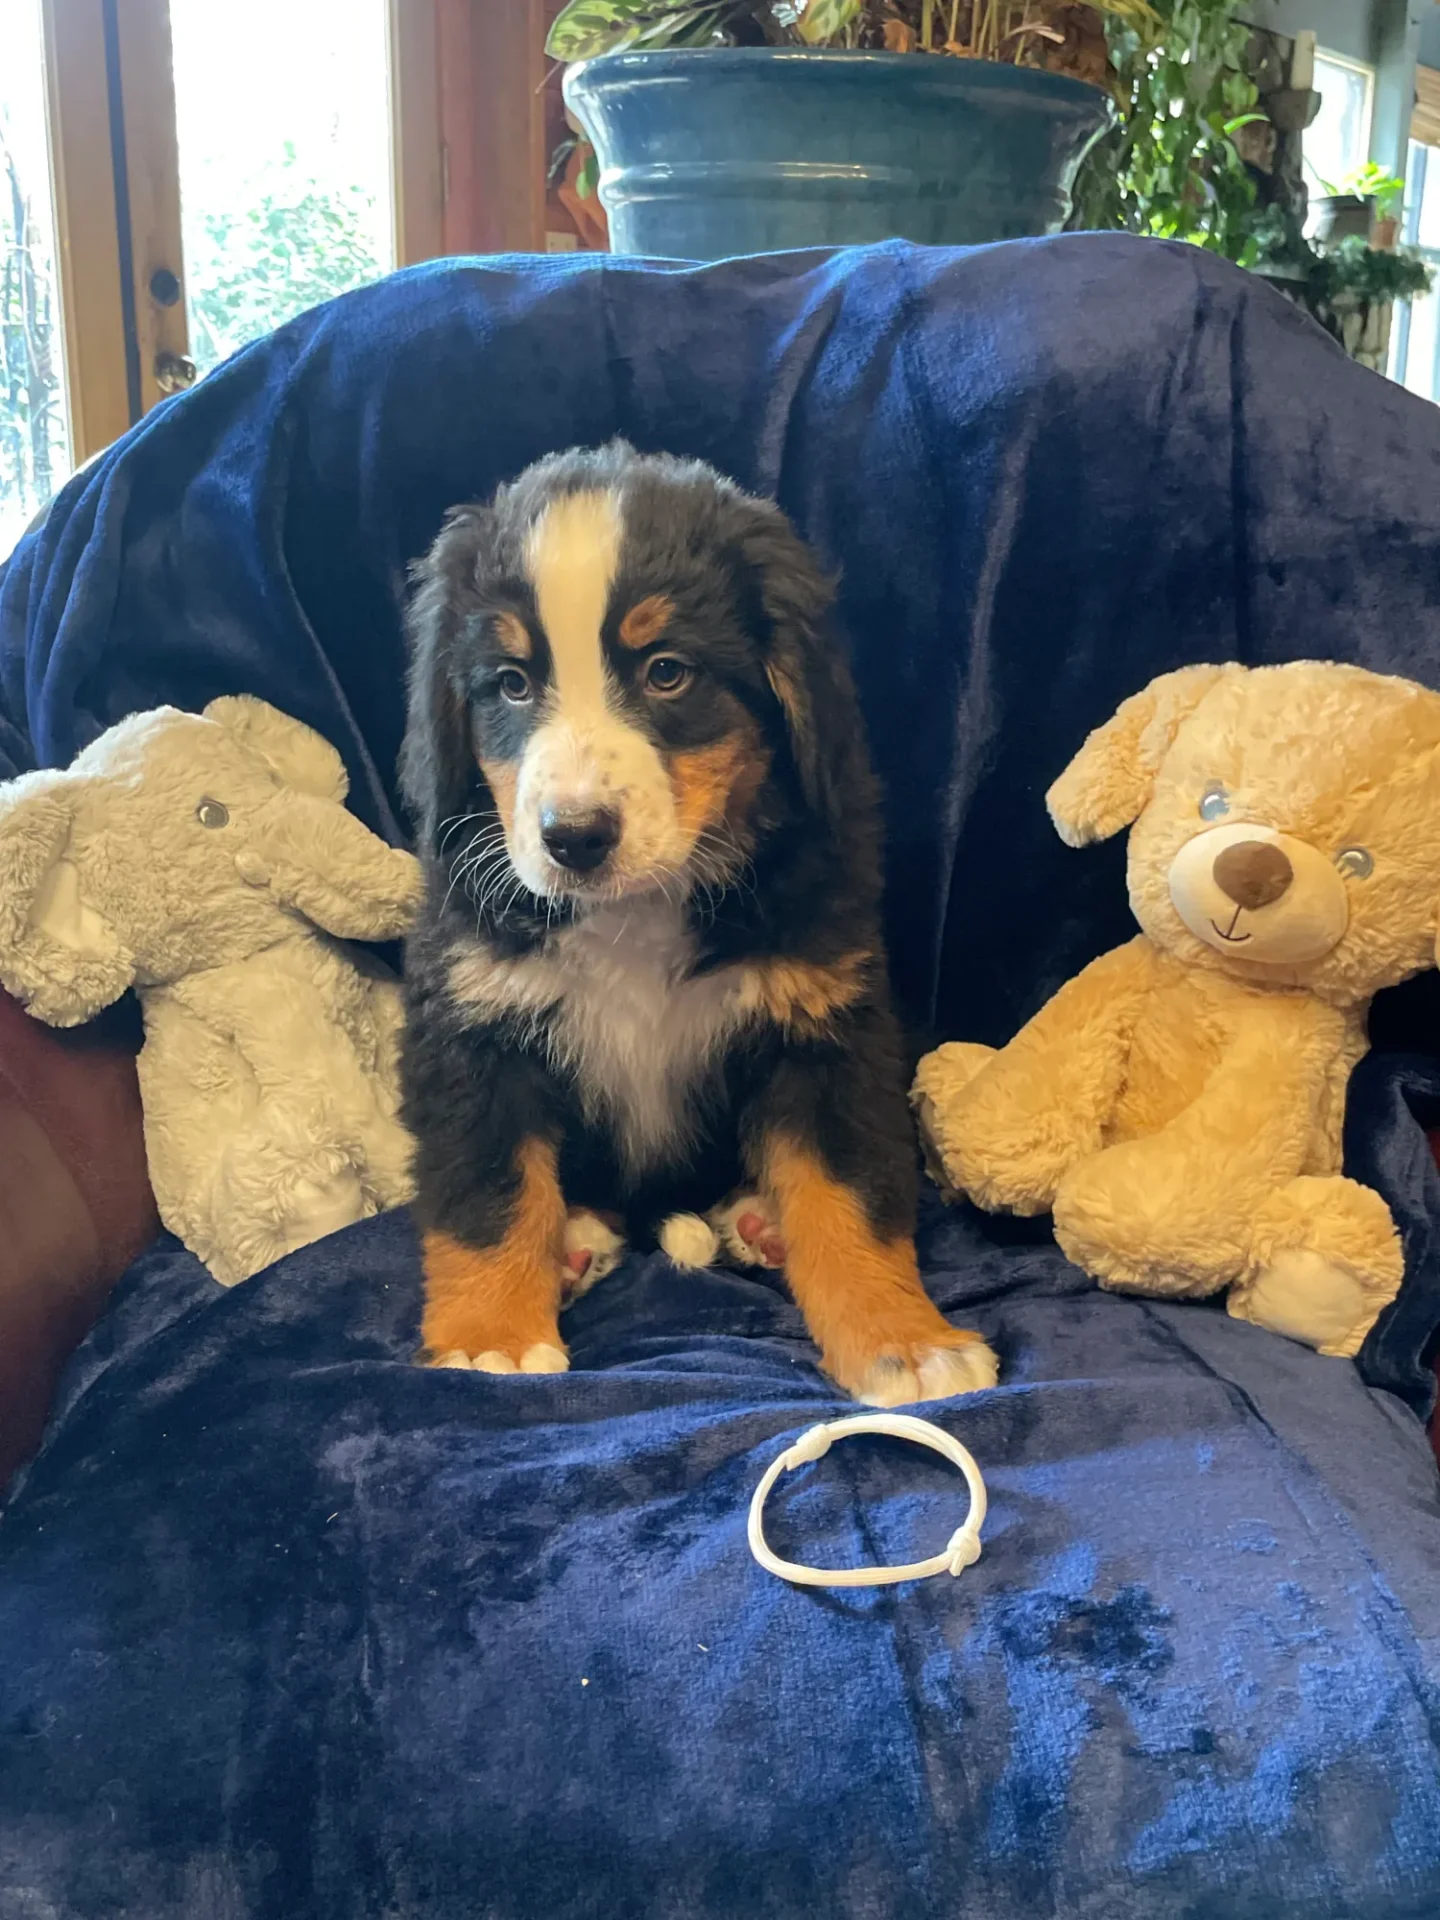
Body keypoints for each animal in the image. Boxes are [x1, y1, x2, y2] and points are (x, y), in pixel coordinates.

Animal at [401, 449, 998, 1413]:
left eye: (667, 672)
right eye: (512, 684)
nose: (574, 837)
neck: (636, 913)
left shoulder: (825, 1024)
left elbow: (848, 1194)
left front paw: (904, 1344)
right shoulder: (472, 1026)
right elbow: (488, 1195)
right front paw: (493, 1340)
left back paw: (758, 1218)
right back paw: (572, 1245)